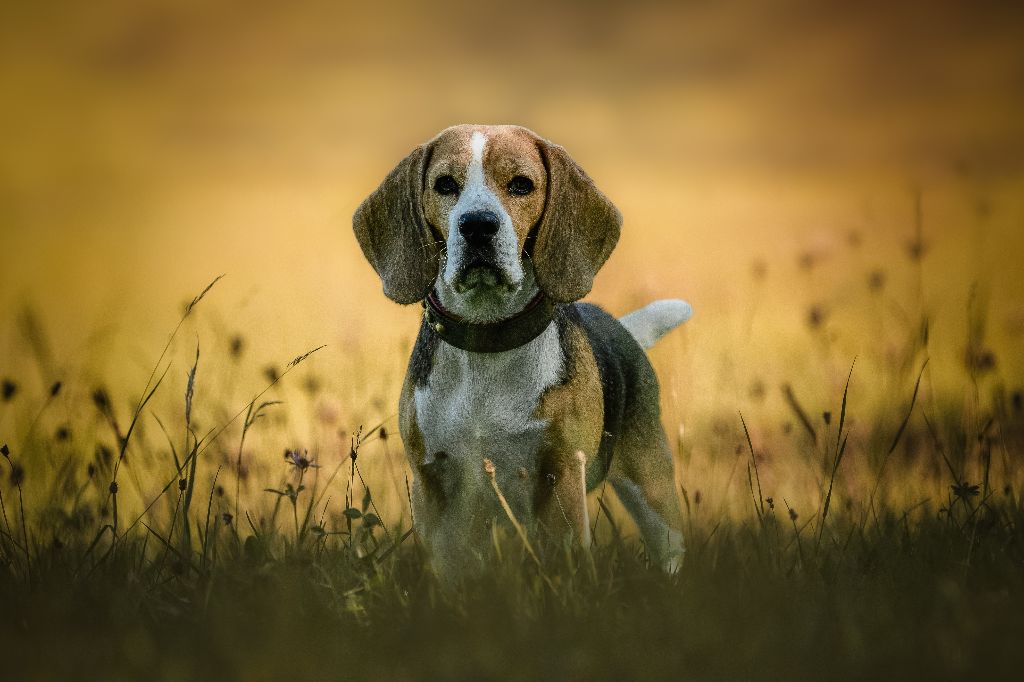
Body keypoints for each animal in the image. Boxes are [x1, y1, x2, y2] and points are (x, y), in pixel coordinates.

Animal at [354, 123, 696, 573]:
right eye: (444, 184)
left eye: (521, 185)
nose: (477, 225)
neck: (486, 343)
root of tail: (621, 327)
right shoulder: (434, 488)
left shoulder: (560, 479)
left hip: (651, 485)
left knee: (669, 547)